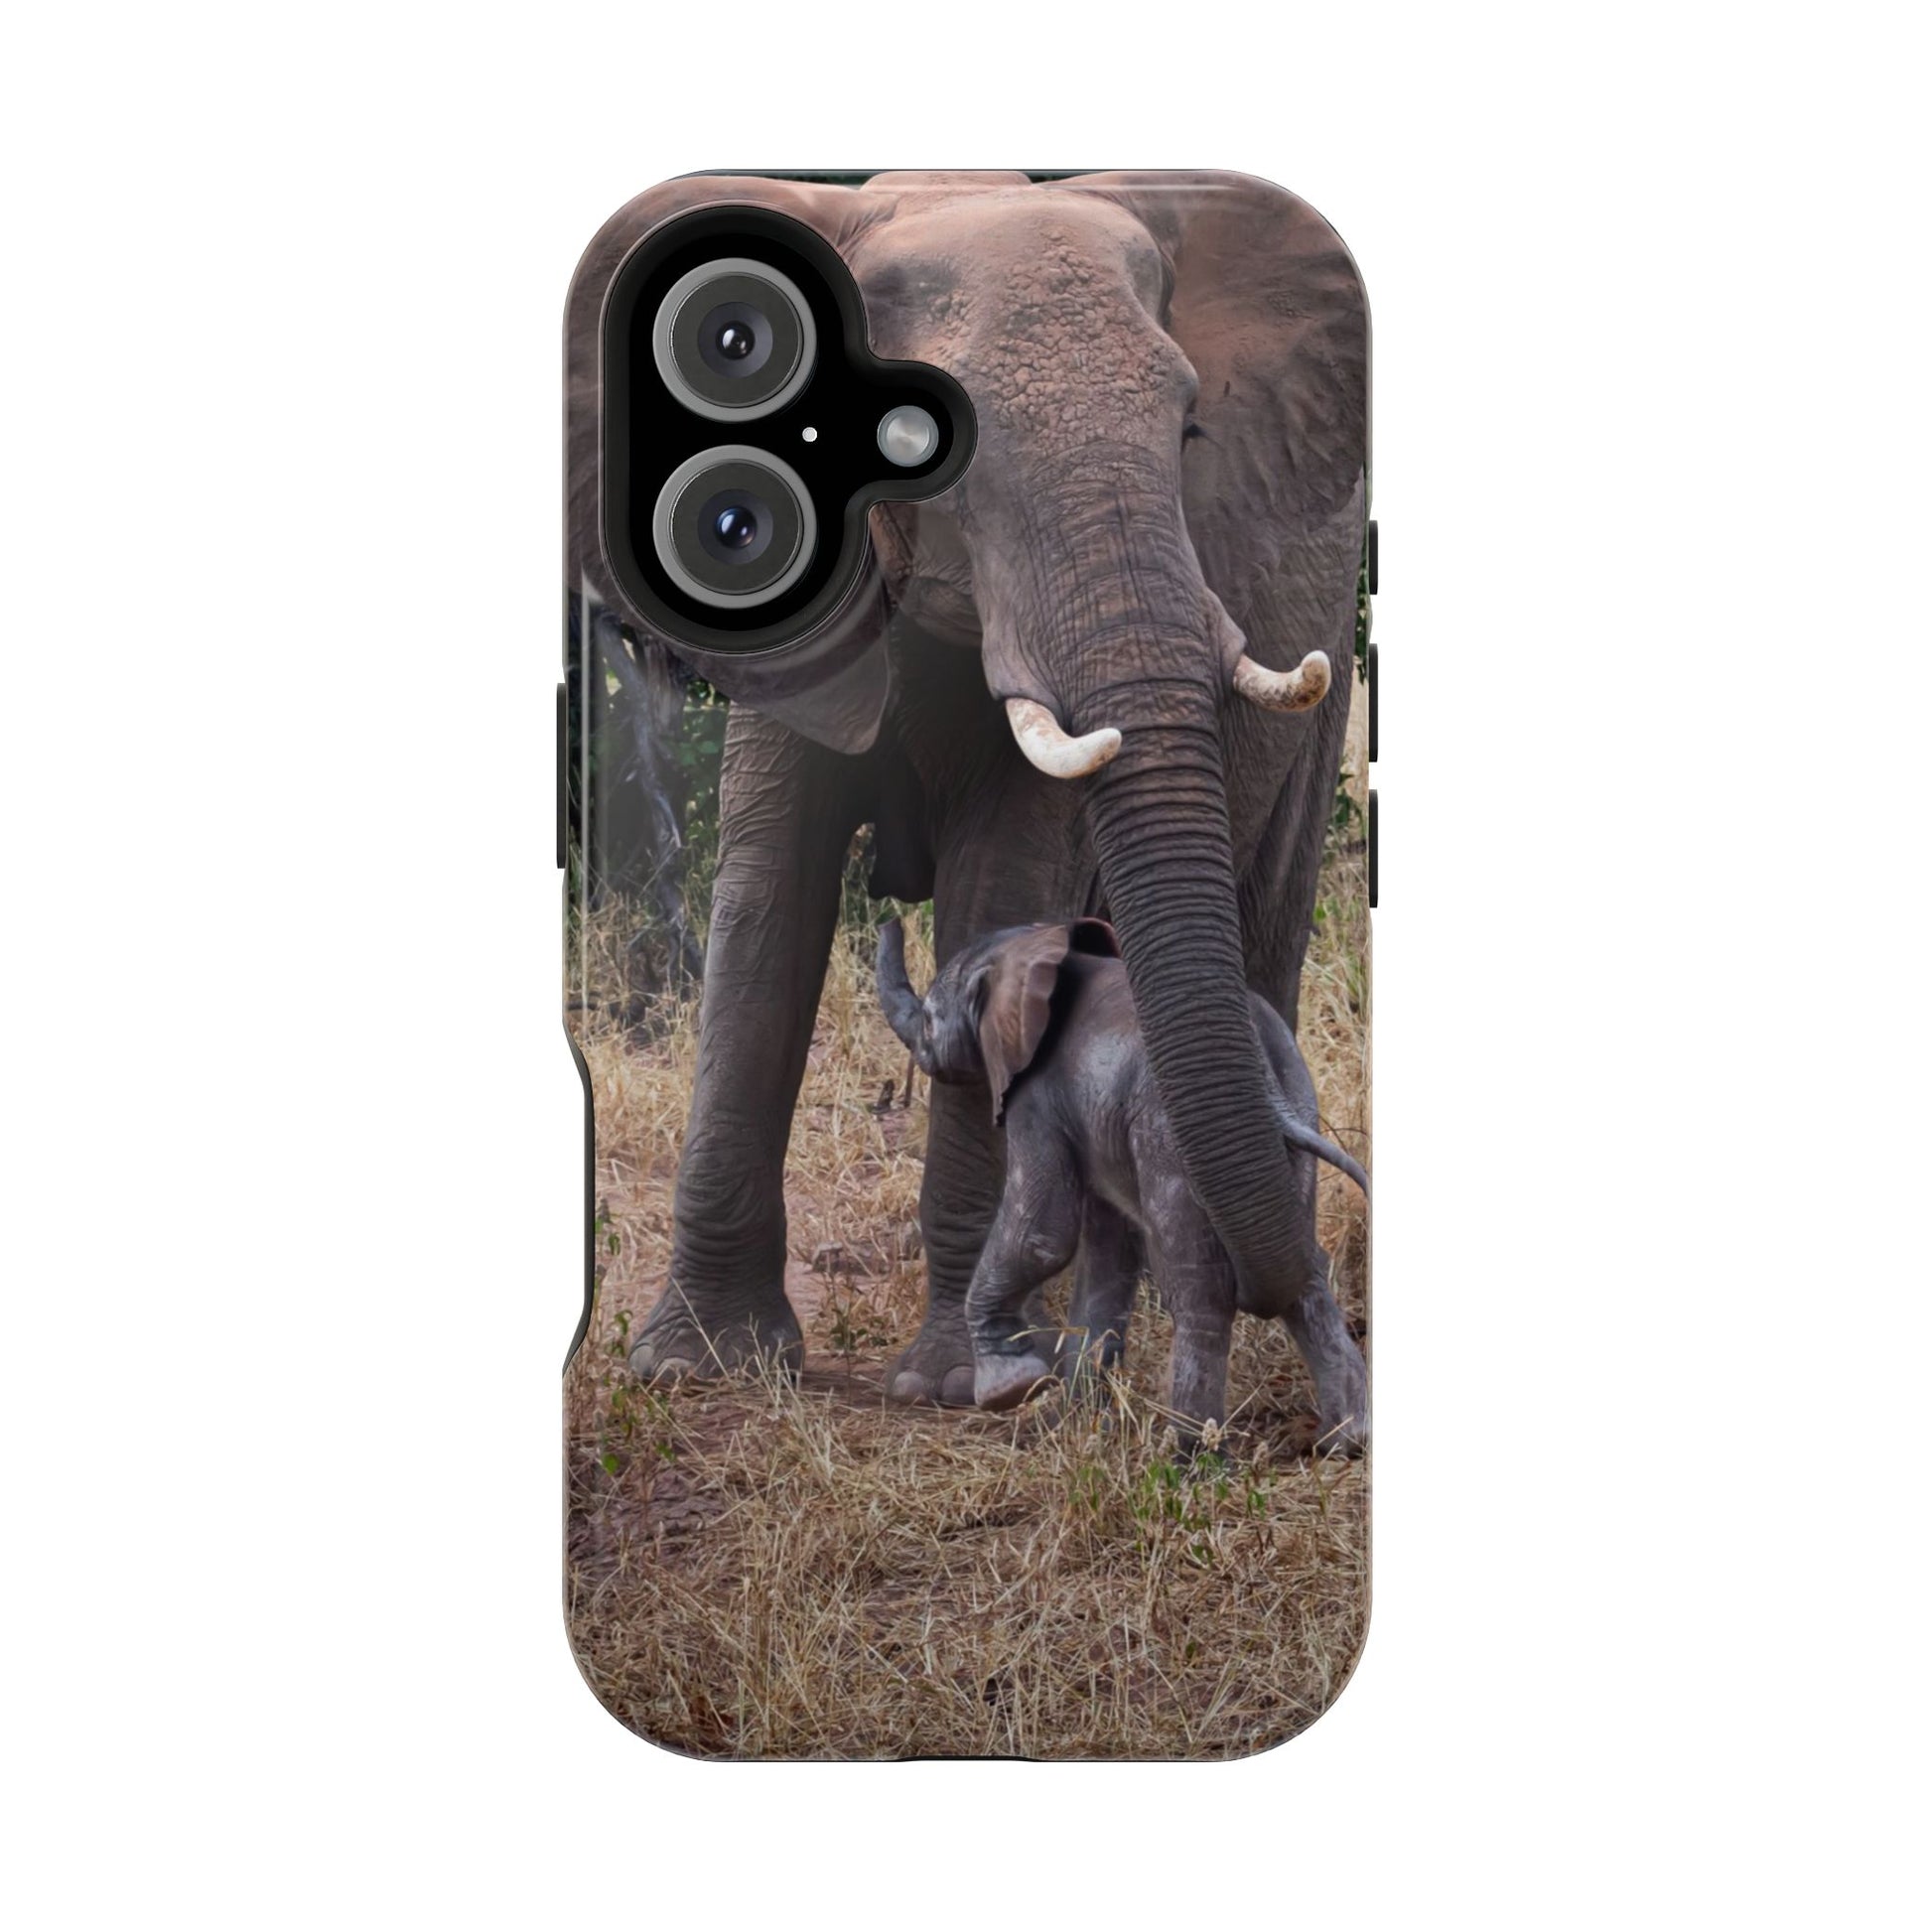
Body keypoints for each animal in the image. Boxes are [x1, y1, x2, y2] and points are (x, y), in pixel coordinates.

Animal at [875, 917, 1369, 1441]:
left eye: (930, 1019)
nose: (890, 921)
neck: (1036, 950)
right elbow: (1106, 1253)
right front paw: (1072, 1424)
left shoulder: (1036, 1095)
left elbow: (1042, 1236)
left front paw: (1010, 1388)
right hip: (1299, 1106)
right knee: (1305, 1270)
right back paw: (1345, 1440)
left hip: (1166, 1134)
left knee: (1200, 1286)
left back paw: (1194, 1451)